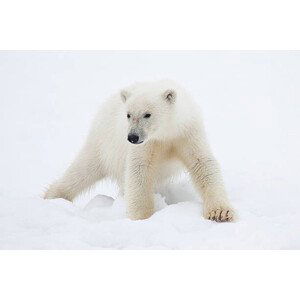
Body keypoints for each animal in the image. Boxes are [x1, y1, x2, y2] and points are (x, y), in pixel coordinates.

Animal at [45, 81, 234, 221]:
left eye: (147, 114)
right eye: (128, 114)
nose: (132, 137)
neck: (165, 132)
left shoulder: (186, 132)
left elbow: (202, 163)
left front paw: (220, 213)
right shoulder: (147, 144)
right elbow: (139, 169)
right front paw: (142, 218)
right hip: (102, 143)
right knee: (81, 172)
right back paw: (52, 196)